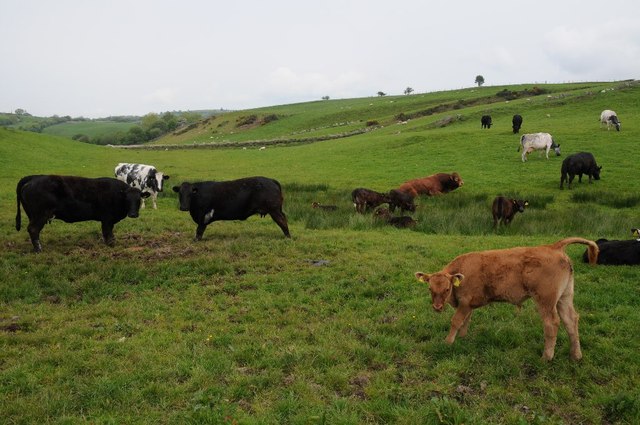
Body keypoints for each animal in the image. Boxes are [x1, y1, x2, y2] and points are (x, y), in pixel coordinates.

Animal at [16, 173, 150, 250]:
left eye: (139, 199)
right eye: (127, 199)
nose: (133, 214)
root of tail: (35, 177)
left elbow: (110, 233)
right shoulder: (107, 219)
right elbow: (107, 232)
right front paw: (110, 245)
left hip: (33, 215)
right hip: (41, 214)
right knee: (33, 229)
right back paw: (39, 249)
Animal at [416, 237, 600, 360]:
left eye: (447, 289)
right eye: (430, 288)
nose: (437, 307)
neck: (463, 271)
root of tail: (554, 247)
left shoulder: (465, 302)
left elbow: (456, 321)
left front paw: (448, 342)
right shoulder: (467, 304)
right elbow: (465, 321)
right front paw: (462, 338)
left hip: (546, 301)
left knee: (552, 324)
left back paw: (546, 357)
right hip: (564, 297)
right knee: (571, 320)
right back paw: (576, 355)